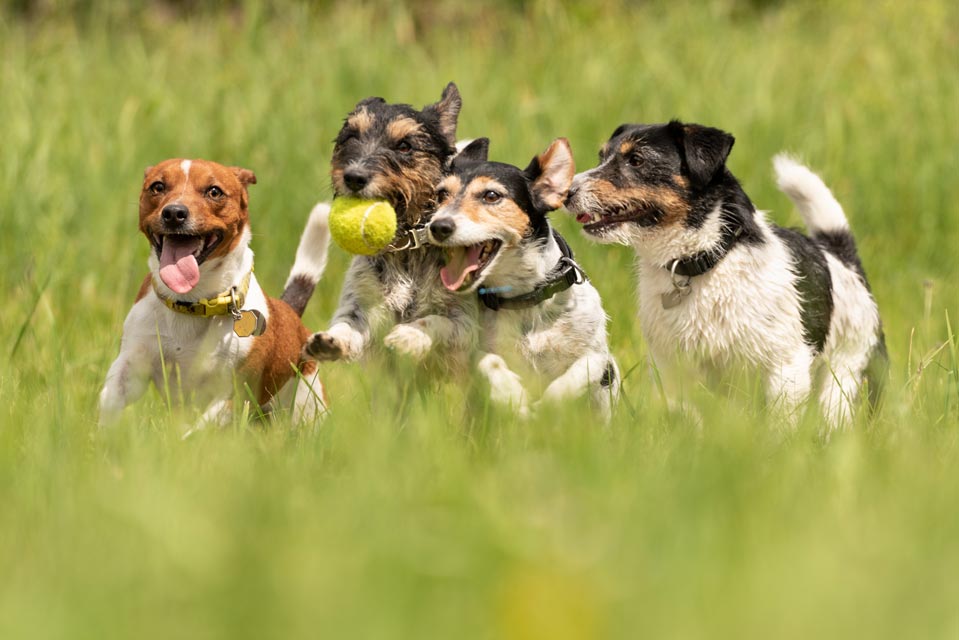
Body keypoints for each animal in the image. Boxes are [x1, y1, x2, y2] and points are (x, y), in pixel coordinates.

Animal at [98, 158, 330, 428]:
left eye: (214, 191)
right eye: (157, 186)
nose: (174, 213)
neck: (191, 303)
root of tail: (291, 312)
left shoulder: (233, 395)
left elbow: (198, 430)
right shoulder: (132, 365)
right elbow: (111, 398)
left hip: (306, 404)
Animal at [304, 84, 476, 364]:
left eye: (404, 145)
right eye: (351, 137)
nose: (354, 177)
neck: (406, 250)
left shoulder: (466, 323)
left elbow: (435, 320)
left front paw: (409, 336)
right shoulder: (359, 305)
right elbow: (347, 325)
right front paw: (330, 341)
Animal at [428, 138, 624, 420]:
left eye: (491, 195)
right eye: (441, 194)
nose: (438, 226)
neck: (524, 297)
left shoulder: (599, 357)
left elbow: (579, 372)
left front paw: (547, 406)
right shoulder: (474, 349)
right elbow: (488, 361)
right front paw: (513, 396)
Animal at [568, 121, 888, 430]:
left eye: (636, 160)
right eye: (601, 156)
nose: (568, 192)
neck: (705, 262)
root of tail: (845, 262)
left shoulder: (785, 367)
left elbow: (781, 426)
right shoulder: (672, 369)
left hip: (844, 380)